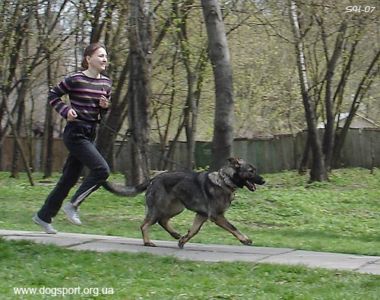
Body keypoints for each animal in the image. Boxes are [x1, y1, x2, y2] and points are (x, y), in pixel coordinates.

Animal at [104, 158, 264, 247]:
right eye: (251, 171)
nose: (264, 181)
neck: (225, 180)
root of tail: (153, 178)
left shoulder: (201, 215)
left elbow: (193, 231)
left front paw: (183, 240)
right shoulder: (217, 216)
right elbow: (233, 227)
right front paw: (245, 239)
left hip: (176, 208)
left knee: (163, 221)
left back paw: (175, 234)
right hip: (158, 209)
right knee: (145, 225)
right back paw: (147, 242)